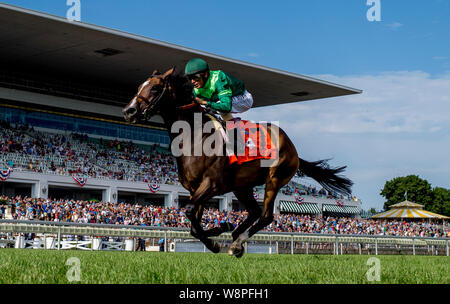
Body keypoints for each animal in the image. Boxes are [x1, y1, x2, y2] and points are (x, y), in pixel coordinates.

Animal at [122, 67, 352, 258]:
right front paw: (220, 230)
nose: (128, 111)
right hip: (242, 186)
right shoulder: (195, 189)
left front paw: (217, 238)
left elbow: (188, 212)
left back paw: (237, 243)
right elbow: (193, 223)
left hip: (274, 178)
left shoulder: (212, 184)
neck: (193, 135)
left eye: (155, 87)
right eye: (139, 86)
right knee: (254, 212)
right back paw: (234, 235)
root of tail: (293, 147)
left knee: (266, 216)